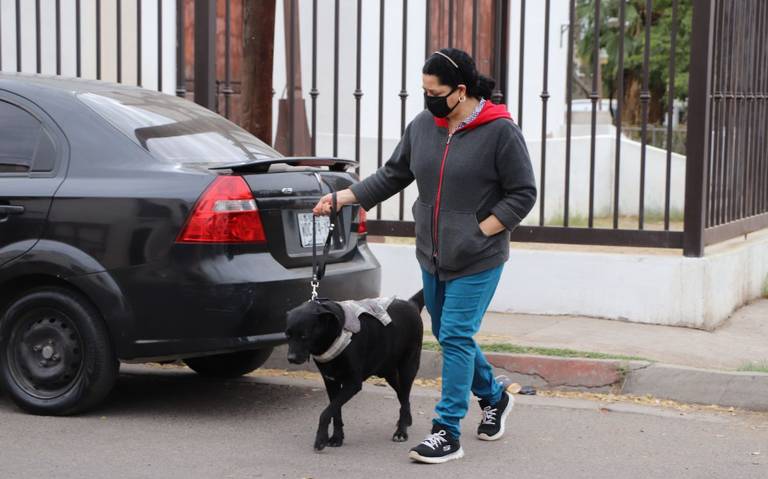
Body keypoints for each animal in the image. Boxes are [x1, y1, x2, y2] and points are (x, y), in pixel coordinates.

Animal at [284, 290, 426, 452]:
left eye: (304, 335)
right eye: (287, 334)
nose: (291, 358)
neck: (334, 333)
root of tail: (411, 304)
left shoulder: (353, 384)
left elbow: (326, 412)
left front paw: (321, 439)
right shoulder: (331, 382)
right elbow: (335, 412)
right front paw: (337, 438)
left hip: (408, 368)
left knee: (405, 395)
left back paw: (401, 432)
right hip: (389, 372)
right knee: (403, 397)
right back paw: (407, 420)